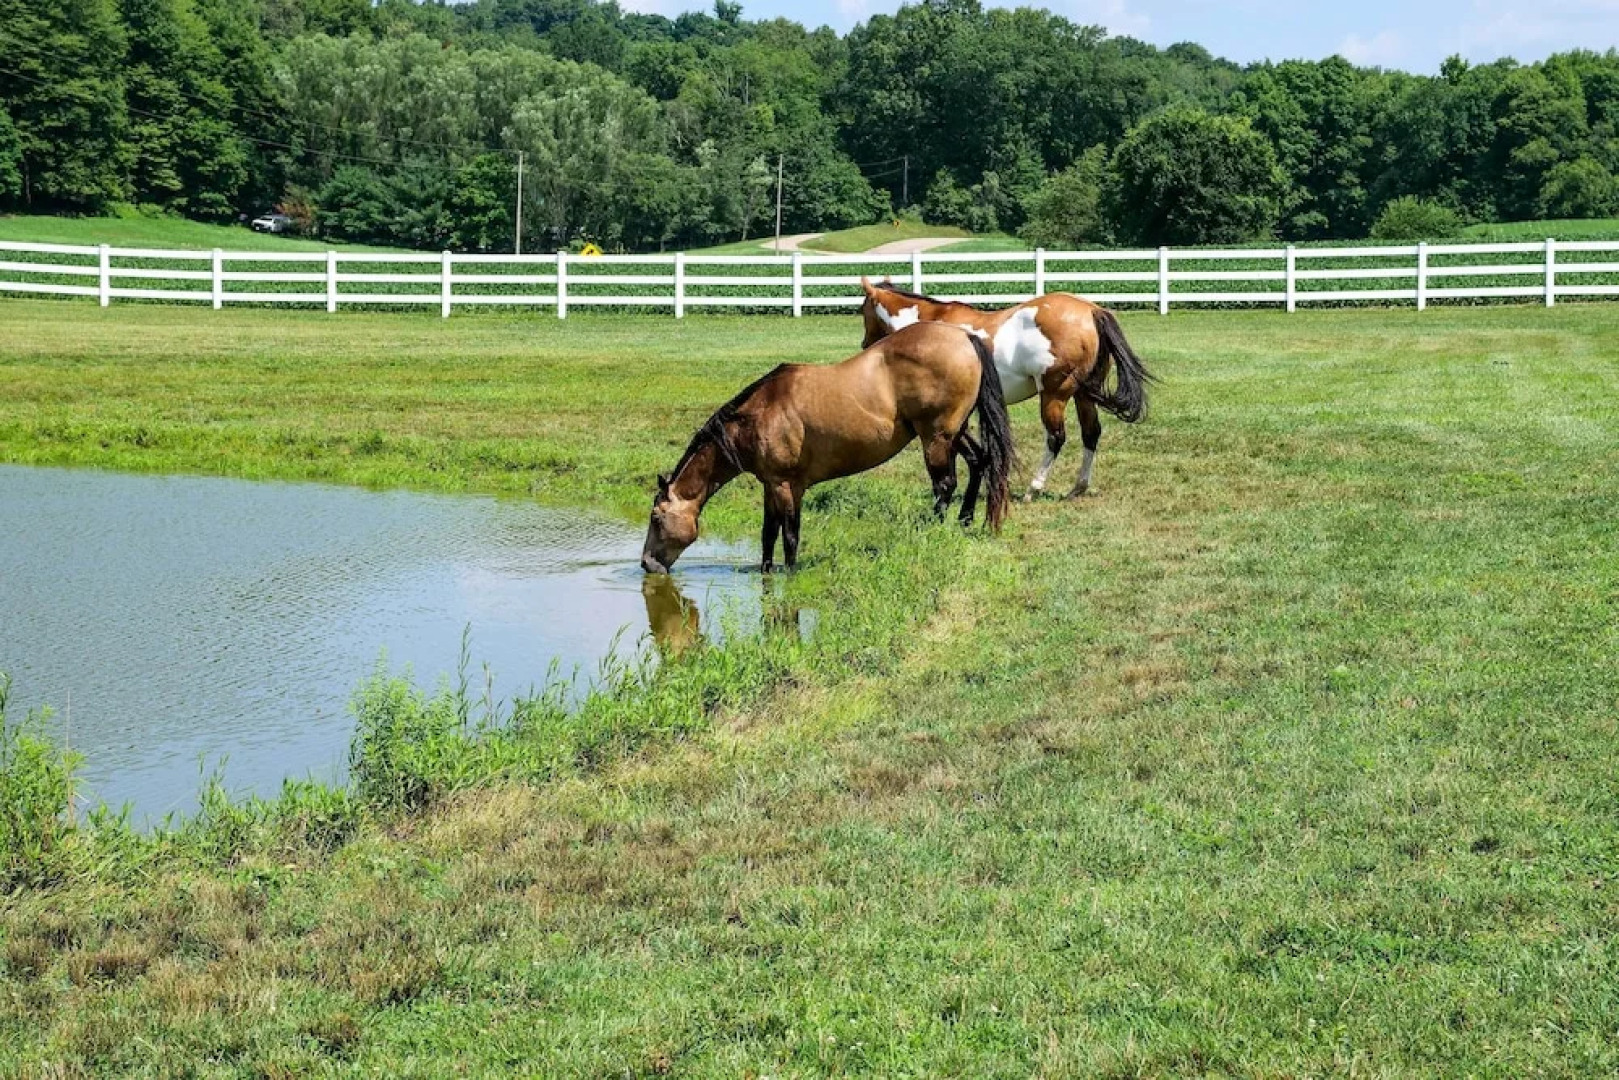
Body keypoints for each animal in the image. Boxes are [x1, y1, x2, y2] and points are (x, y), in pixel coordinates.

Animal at [641, 321, 1016, 574]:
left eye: (656, 518)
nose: (646, 563)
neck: (759, 415)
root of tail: (964, 337)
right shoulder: (770, 485)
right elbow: (768, 534)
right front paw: (765, 574)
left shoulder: (787, 486)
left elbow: (790, 535)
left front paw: (790, 575)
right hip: (955, 432)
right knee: (979, 462)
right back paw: (966, 521)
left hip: (936, 437)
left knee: (944, 485)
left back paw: (930, 531)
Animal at [858, 278, 1154, 501]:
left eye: (863, 311)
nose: (864, 345)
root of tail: (1092, 311)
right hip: (1082, 395)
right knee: (1091, 433)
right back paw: (1077, 488)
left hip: (1054, 395)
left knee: (1056, 438)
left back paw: (1034, 488)